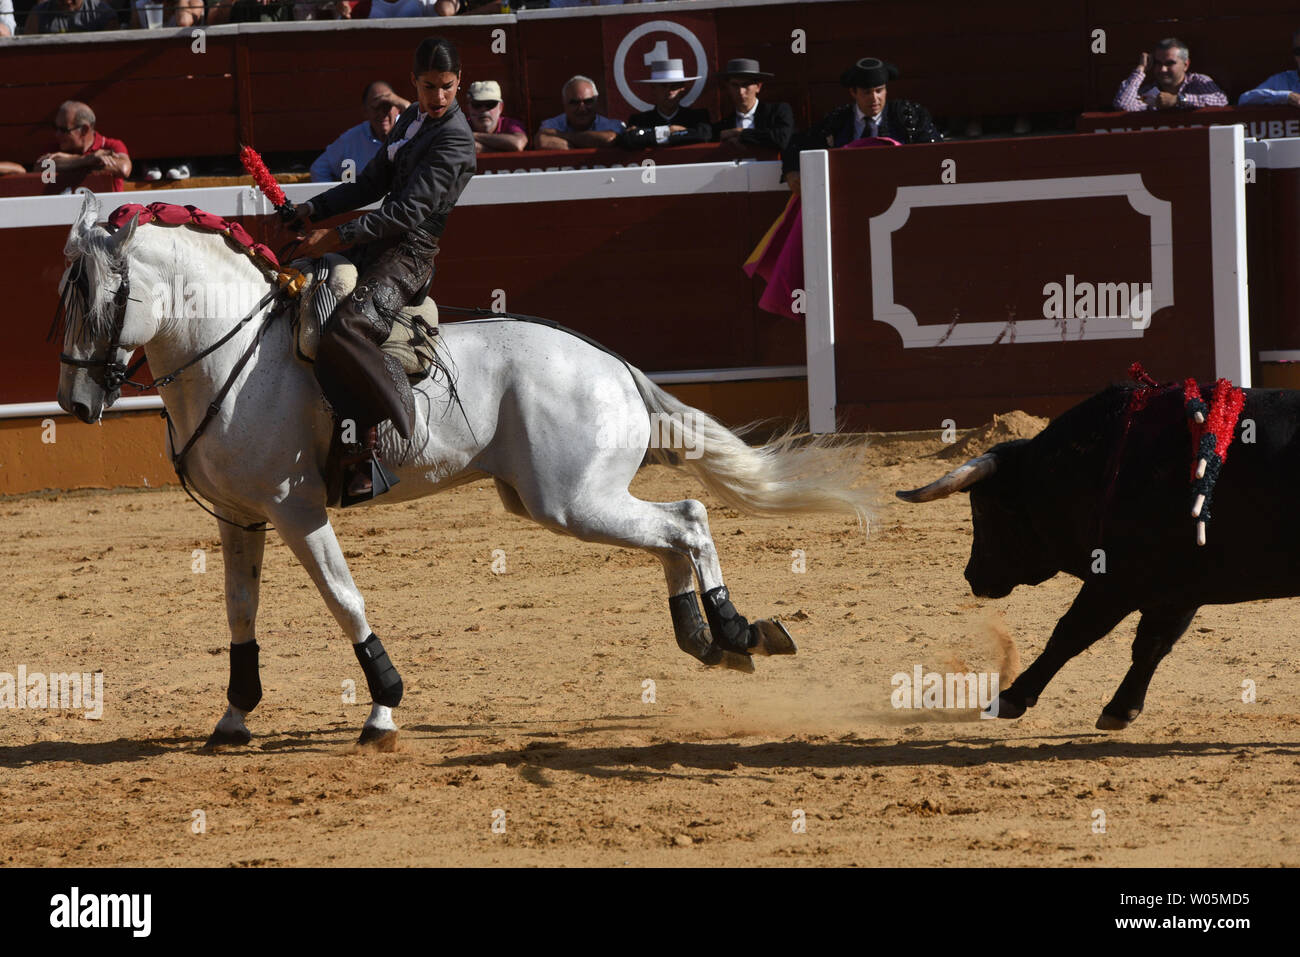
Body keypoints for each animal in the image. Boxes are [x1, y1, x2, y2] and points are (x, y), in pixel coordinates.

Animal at [58, 191, 873, 748]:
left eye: (99, 297)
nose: (73, 402)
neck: (233, 353)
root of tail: (612, 363)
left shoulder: (297, 510)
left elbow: (343, 599)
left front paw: (383, 707)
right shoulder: (241, 516)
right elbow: (239, 609)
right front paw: (234, 714)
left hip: (569, 499)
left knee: (686, 521)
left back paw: (735, 631)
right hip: (560, 499)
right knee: (676, 528)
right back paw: (714, 640)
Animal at [899, 384, 1294, 728]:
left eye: (981, 507)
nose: (972, 575)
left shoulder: (1116, 581)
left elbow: (1070, 633)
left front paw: (1009, 698)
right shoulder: (1176, 591)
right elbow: (1151, 645)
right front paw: (1121, 710)